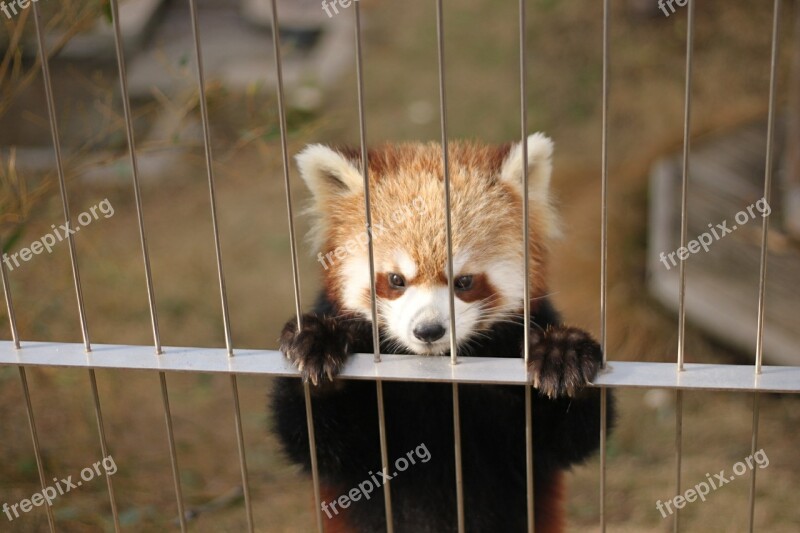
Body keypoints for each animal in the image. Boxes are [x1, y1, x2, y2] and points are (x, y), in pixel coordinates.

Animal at [272, 135, 616, 528]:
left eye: (464, 282)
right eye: (396, 280)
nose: (428, 330)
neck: (433, 375)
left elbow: (573, 437)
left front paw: (562, 354)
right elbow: (313, 443)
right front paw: (319, 345)